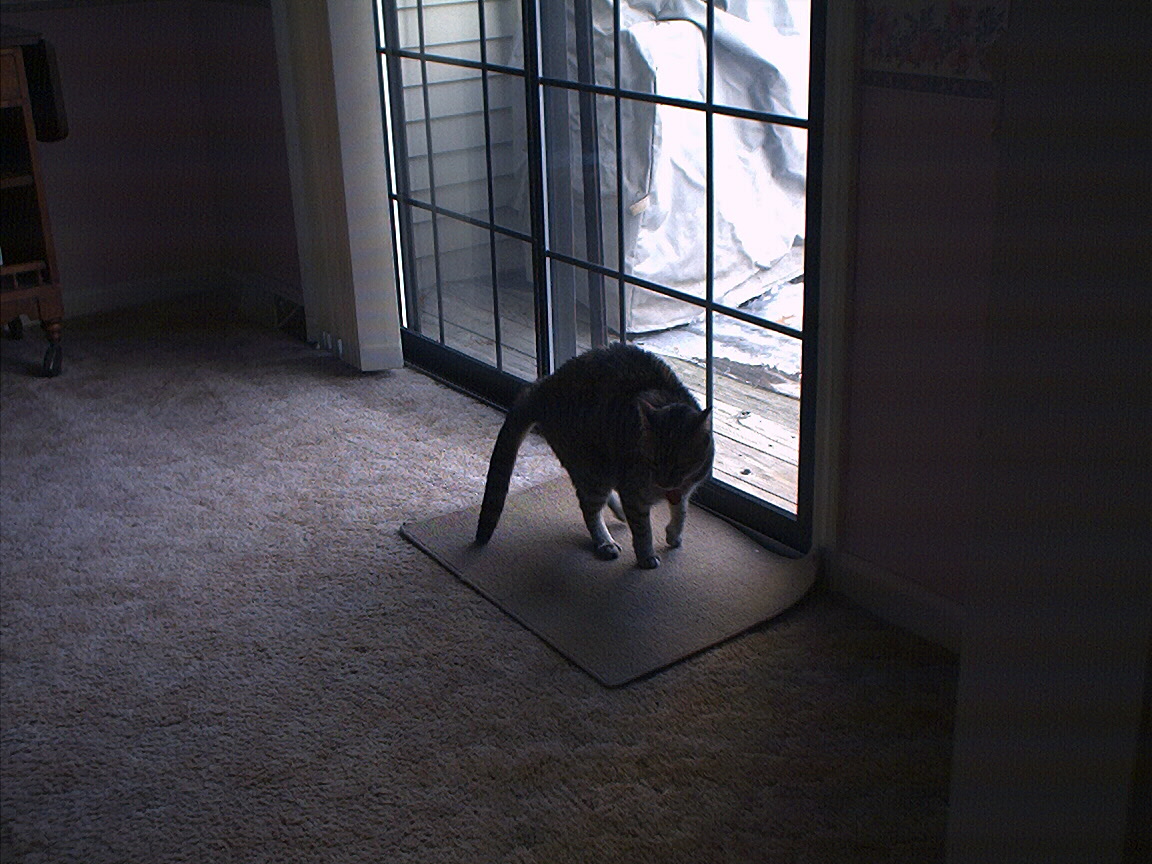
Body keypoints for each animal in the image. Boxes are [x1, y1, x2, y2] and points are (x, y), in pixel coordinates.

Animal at [475, 343, 713, 569]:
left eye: (681, 464)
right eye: (653, 461)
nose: (664, 482)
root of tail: (541, 386)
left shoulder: (683, 490)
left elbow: (680, 512)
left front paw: (674, 534)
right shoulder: (634, 493)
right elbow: (643, 531)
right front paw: (646, 556)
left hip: (599, 470)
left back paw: (619, 514)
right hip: (594, 469)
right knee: (589, 508)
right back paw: (605, 541)